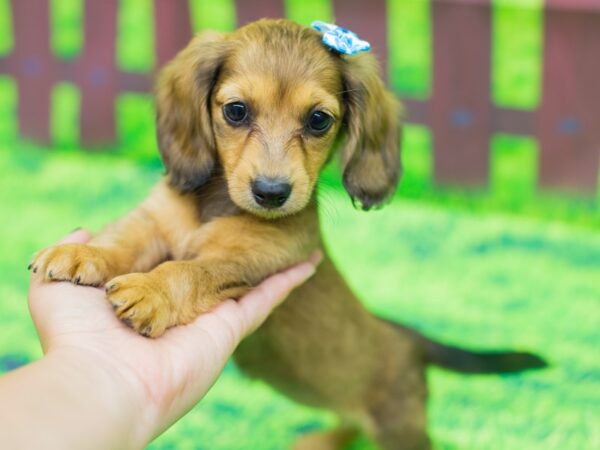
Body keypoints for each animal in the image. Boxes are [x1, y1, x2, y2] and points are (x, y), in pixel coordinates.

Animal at [30, 18, 548, 450]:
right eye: (236, 111)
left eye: (318, 119)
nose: (272, 193)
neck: (218, 205)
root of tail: (406, 338)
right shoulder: (155, 221)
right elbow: (124, 241)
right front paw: (82, 253)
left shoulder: (245, 260)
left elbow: (187, 270)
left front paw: (151, 291)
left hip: (400, 429)